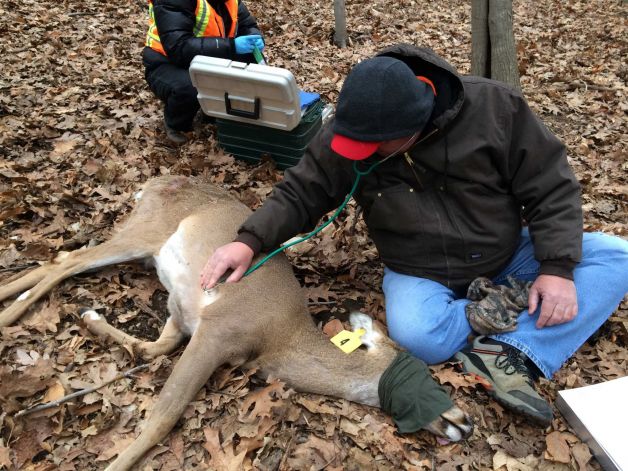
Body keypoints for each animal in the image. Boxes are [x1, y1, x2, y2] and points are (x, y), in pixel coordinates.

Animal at [0, 177, 472, 471]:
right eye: (418, 367)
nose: (465, 422)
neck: (277, 342)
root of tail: (152, 183)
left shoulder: (185, 314)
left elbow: (155, 347)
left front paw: (95, 319)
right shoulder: (218, 329)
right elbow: (163, 417)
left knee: (63, 258)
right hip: (145, 231)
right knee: (67, 259)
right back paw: (10, 312)